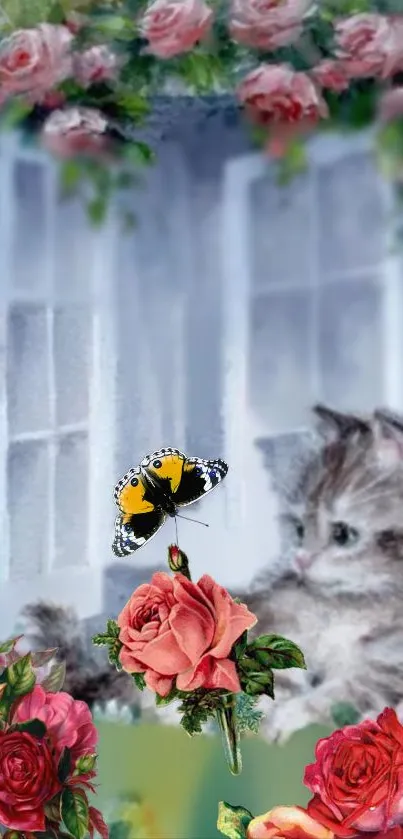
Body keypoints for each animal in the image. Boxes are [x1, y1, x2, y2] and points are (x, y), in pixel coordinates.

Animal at [246, 406, 403, 740]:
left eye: (343, 534)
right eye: (299, 529)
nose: (300, 560)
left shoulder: (387, 668)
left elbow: (341, 693)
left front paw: (286, 717)